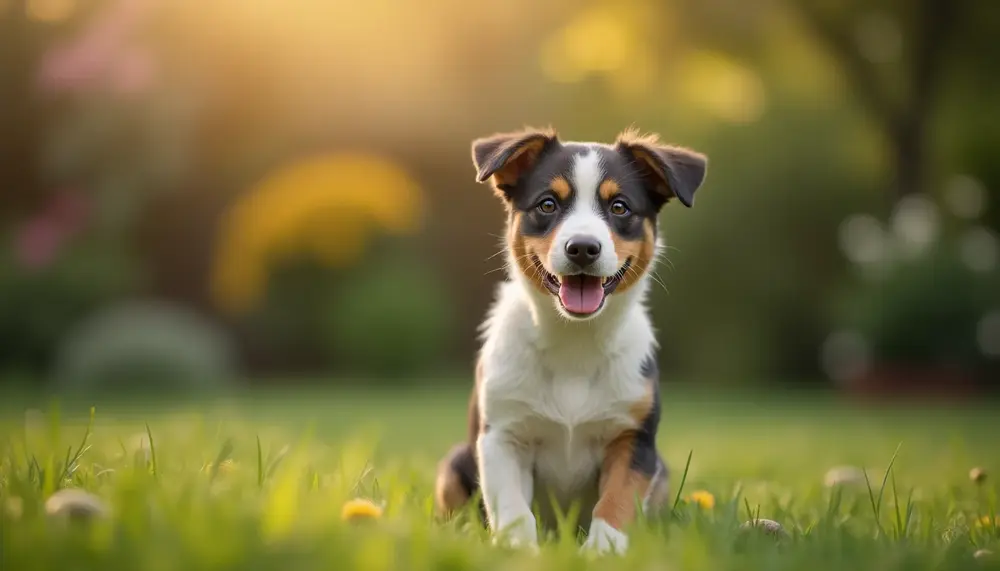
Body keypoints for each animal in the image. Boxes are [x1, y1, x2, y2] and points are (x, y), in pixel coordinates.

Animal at [434, 125, 708, 556]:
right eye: (547, 204)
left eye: (619, 207)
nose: (582, 248)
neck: (574, 342)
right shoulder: (502, 436)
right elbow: (512, 507)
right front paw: (518, 550)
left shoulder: (634, 438)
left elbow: (616, 500)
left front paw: (602, 551)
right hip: (454, 463)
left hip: (662, 471)